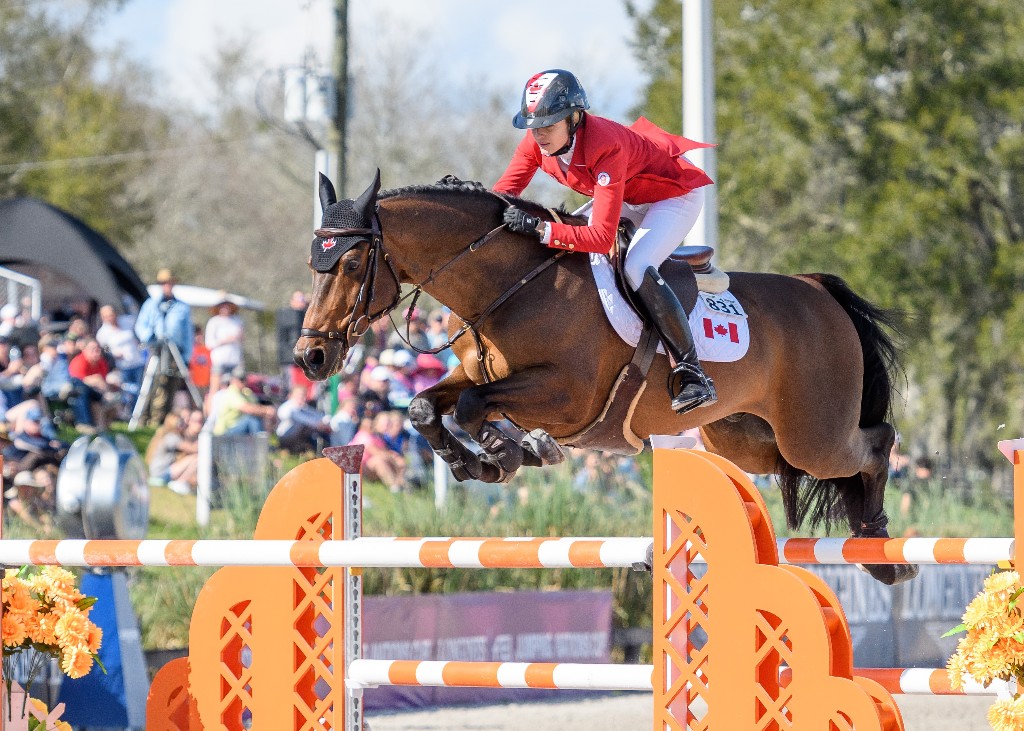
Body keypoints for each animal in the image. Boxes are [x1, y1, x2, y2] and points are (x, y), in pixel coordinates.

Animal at [296, 168, 921, 581]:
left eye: (350, 264)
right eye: (313, 265)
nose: (311, 358)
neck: (509, 287)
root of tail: (819, 290)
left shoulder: (567, 395)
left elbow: (476, 407)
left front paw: (509, 452)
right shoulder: (477, 378)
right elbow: (427, 406)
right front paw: (478, 459)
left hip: (812, 433)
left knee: (877, 443)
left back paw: (881, 547)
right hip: (747, 440)